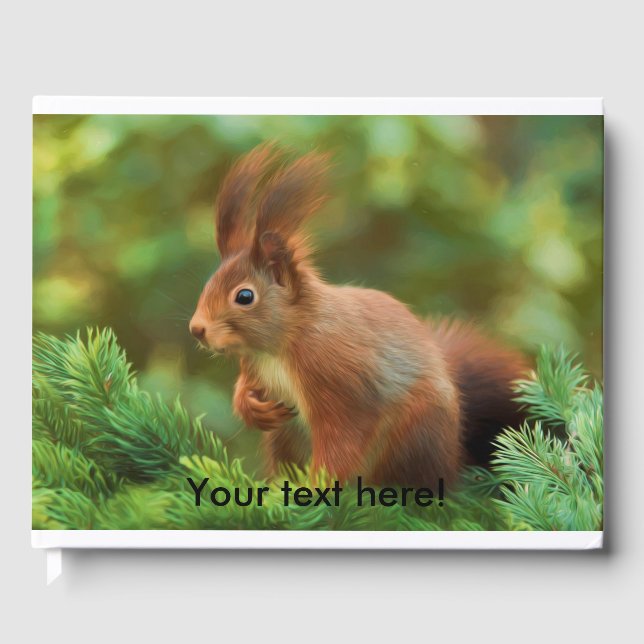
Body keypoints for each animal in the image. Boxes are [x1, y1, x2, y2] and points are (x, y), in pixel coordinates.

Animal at [189, 143, 528, 487]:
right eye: (209, 283)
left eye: (244, 296)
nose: (197, 329)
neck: (280, 346)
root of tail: (453, 458)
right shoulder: (255, 366)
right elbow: (245, 387)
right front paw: (250, 406)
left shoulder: (337, 378)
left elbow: (342, 440)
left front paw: (315, 488)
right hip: (284, 437)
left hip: (413, 434)